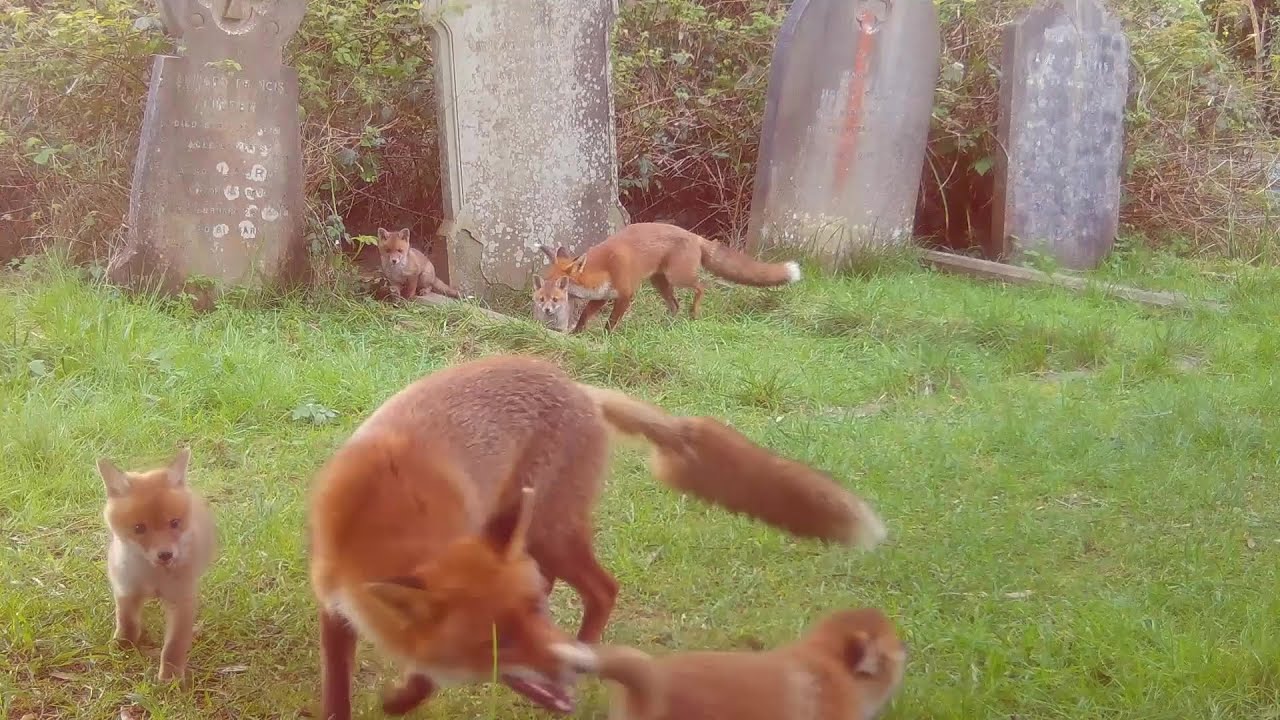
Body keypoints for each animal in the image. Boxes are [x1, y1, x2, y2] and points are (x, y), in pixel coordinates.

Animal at [98, 446, 216, 683]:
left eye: (174, 523)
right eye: (139, 528)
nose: (165, 555)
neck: (152, 578)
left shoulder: (181, 601)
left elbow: (173, 647)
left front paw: (170, 678)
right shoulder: (126, 590)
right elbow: (127, 622)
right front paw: (122, 646)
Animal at [535, 222, 802, 333]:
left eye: (559, 285)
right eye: (544, 281)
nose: (543, 302)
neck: (604, 266)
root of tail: (695, 235)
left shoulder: (626, 294)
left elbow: (611, 322)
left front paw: (606, 338)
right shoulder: (602, 296)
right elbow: (584, 317)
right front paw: (577, 334)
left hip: (678, 277)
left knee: (702, 286)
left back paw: (694, 313)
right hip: (660, 282)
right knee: (675, 304)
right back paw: (668, 325)